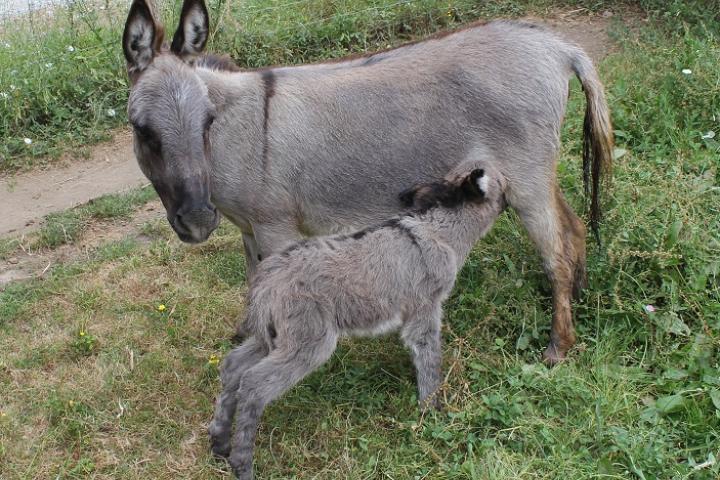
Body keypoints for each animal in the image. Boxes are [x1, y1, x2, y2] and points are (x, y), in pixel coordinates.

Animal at [211, 164, 510, 476]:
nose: (512, 200)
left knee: (233, 367)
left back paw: (219, 443)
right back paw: (242, 464)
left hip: (270, 336)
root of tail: (266, 281)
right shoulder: (425, 308)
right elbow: (428, 357)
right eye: (504, 184)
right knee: (253, 386)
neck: (437, 230)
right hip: (308, 342)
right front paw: (431, 410)